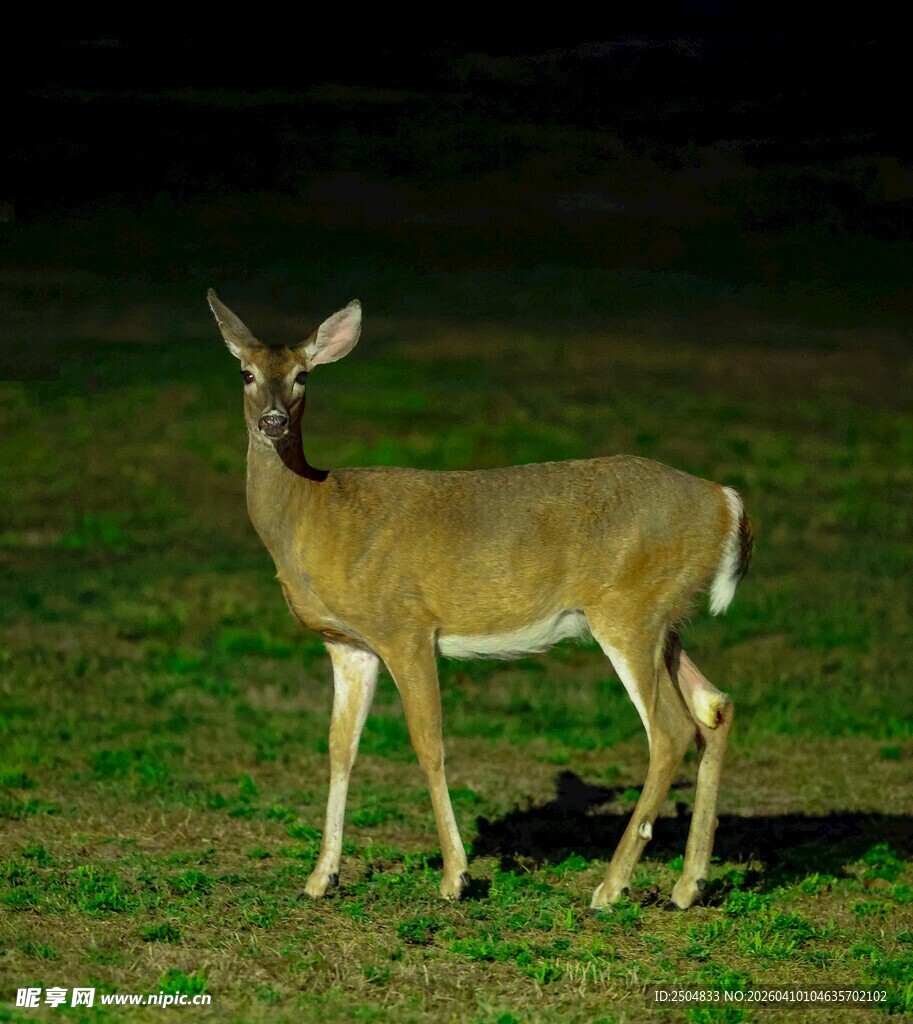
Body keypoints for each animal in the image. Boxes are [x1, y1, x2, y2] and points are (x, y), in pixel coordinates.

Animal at [207, 290, 753, 910]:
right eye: (246, 372)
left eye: (303, 375)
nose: (272, 420)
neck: (317, 513)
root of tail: (727, 502)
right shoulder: (348, 644)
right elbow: (340, 748)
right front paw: (322, 876)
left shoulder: (405, 627)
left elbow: (428, 744)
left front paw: (456, 876)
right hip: (665, 618)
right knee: (714, 708)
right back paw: (689, 884)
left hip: (627, 610)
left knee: (670, 730)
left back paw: (611, 887)